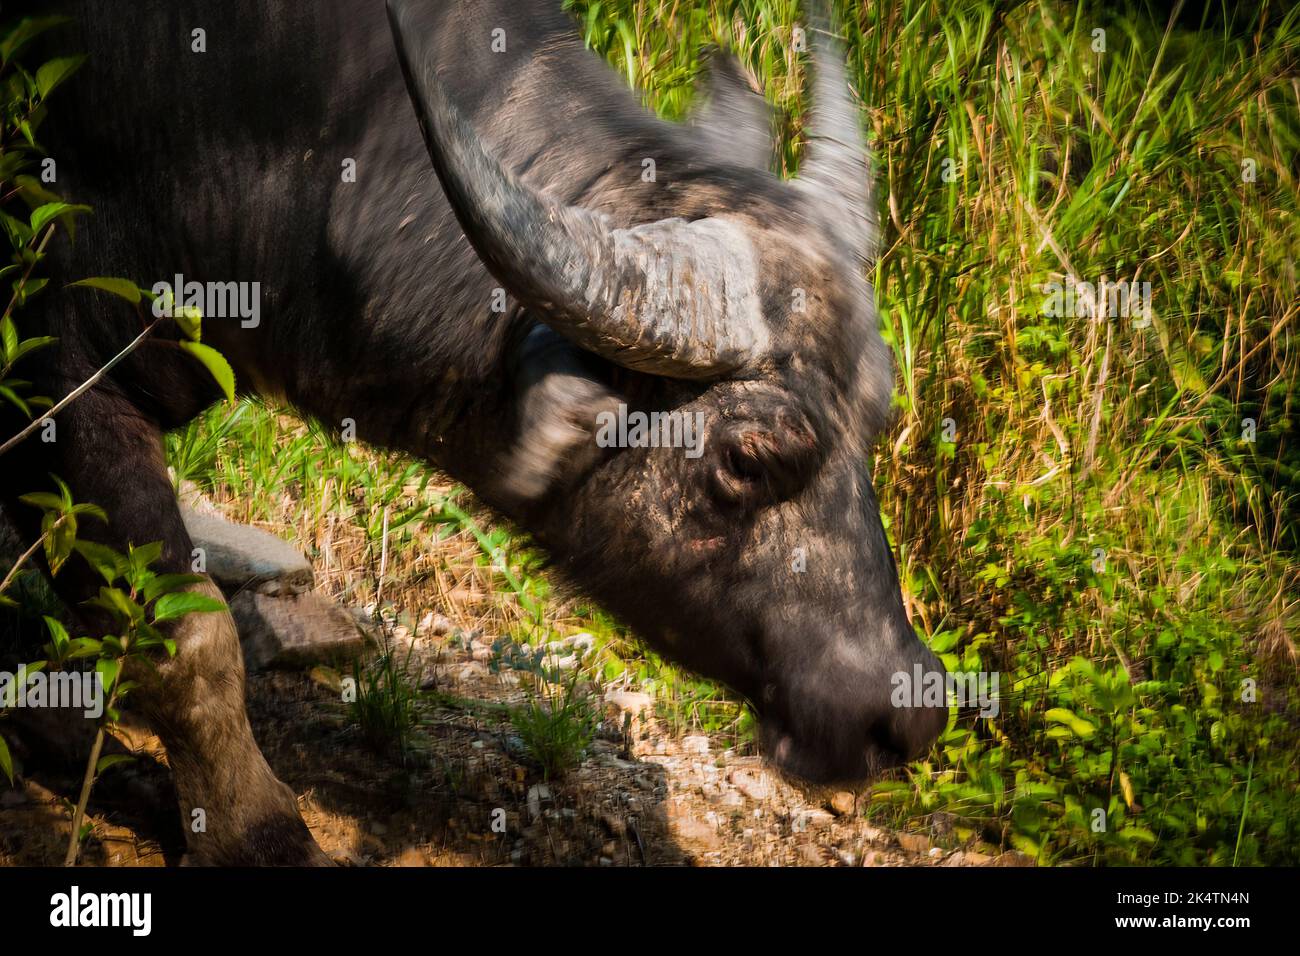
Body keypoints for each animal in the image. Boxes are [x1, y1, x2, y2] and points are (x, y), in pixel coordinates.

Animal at [0, 0, 946, 868]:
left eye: (874, 422)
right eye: (748, 457)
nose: (908, 708)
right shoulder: (57, 379)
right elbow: (188, 638)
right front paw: (254, 830)